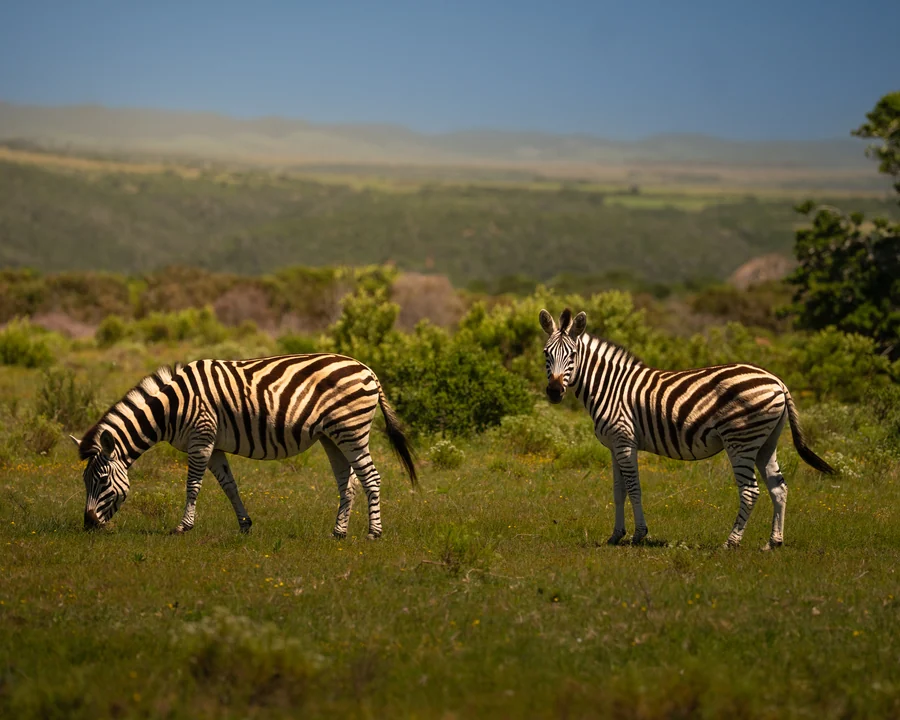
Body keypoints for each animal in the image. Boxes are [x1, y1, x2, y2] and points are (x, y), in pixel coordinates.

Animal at [70, 353, 418, 539]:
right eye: (84, 481)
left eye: (102, 480)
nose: (87, 525)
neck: (171, 407)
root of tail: (368, 369)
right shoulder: (213, 445)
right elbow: (229, 485)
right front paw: (245, 525)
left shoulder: (201, 438)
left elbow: (192, 486)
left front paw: (183, 527)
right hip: (333, 437)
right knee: (348, 482)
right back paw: (339, 532)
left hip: (352, 430)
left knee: (371, 478)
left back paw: (374, 533)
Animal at [539, 308, 835, 550]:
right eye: (546, 354)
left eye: (573, 354)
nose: (553, 392)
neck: (609, 386)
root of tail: (777, 381)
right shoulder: (614, 445)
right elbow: (618, 490)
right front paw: (615, 535)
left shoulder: (625, 441)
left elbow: (634, 488)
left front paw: (639, 535)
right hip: (766, 442)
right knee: (779, 488)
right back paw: (774, 542)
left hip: (741, 440)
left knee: (750, 491)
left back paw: (731, 542)